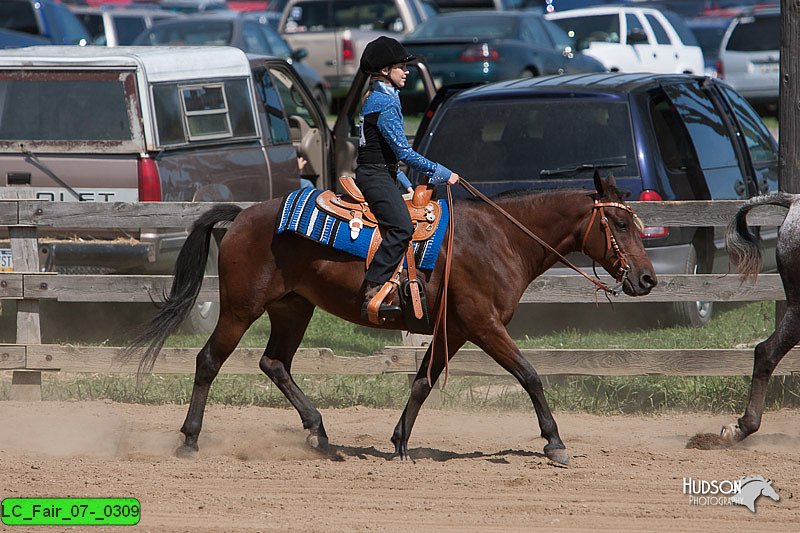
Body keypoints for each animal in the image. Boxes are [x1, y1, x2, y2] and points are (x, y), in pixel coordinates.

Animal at [126, 172, 656, 464]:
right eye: (620, 222)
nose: (648, 279)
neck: (500, 238)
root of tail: (240, 217)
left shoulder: (454, 331)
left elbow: (422, 382)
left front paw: (401, 442)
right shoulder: (484, 325)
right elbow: (530, 375)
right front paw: (555, 443)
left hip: (293, 308)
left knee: (274, 363)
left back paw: (320, 434)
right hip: (240, 309)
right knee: (208, 361)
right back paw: (190, 440)